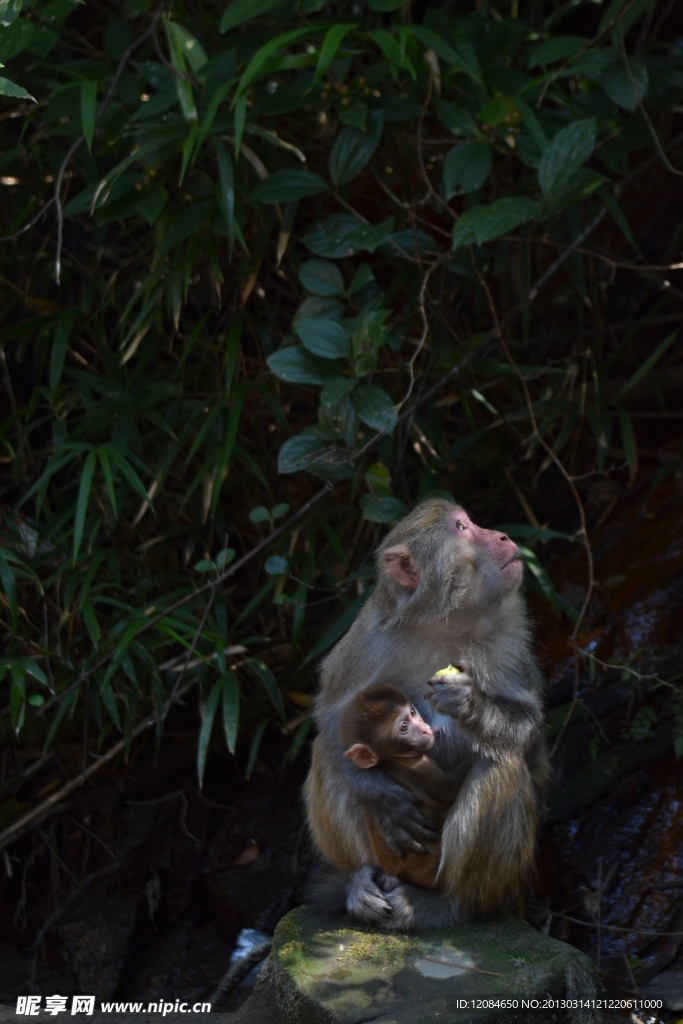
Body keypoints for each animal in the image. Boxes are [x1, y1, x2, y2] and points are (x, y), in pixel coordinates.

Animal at [335, 684, 458, 892]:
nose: (424, 730)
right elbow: (451, 792)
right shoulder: (418, 769)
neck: (394, 759)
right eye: (404, 727)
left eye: (412, 712)